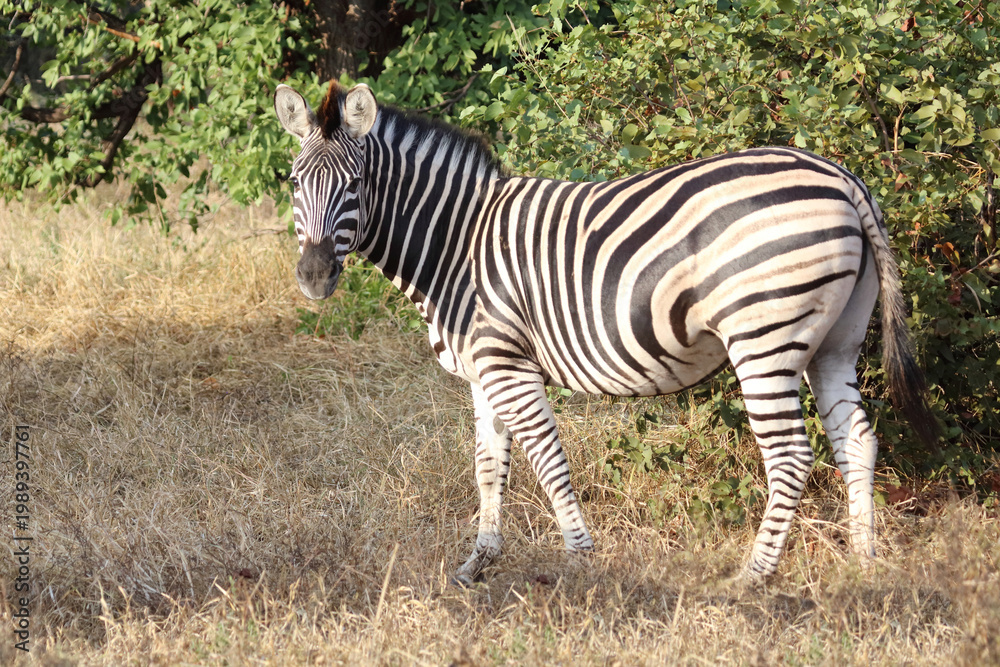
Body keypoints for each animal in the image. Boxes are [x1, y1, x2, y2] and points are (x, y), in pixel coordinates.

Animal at [273, 81, 936, 584]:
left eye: (354, 187)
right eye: (294, 184)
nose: (313, 276)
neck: (459, 242)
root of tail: (842, 178)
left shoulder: (509, 366)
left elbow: (548, 460)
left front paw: (579, 560)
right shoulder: (484, 372)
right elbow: (489, 466)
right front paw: (477, 565)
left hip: (764, 338)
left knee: (792, 455)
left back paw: (754, 577)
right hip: (834, 341)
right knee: (858, 439)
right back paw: (863, 561)